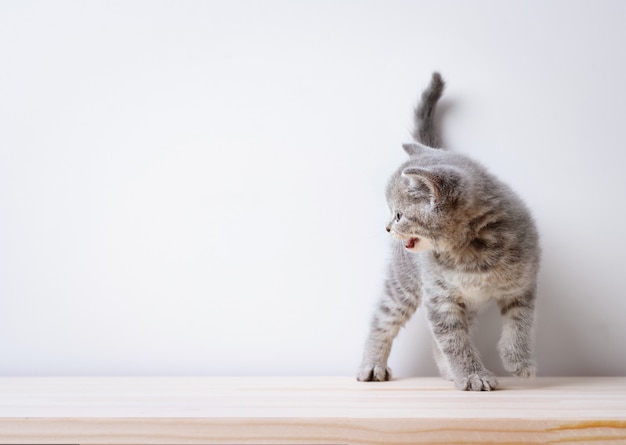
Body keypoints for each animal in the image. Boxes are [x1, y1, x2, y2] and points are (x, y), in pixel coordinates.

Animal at [358, 72, 540, 388]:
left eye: (398, 214)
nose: (387, 227)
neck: (472, 253)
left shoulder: (523, 284)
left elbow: (520, 324)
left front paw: (519, 361)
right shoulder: (439, 297)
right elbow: (453, 340)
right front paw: (472, 374)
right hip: (403, 283)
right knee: (383, 319)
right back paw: (372, 365)